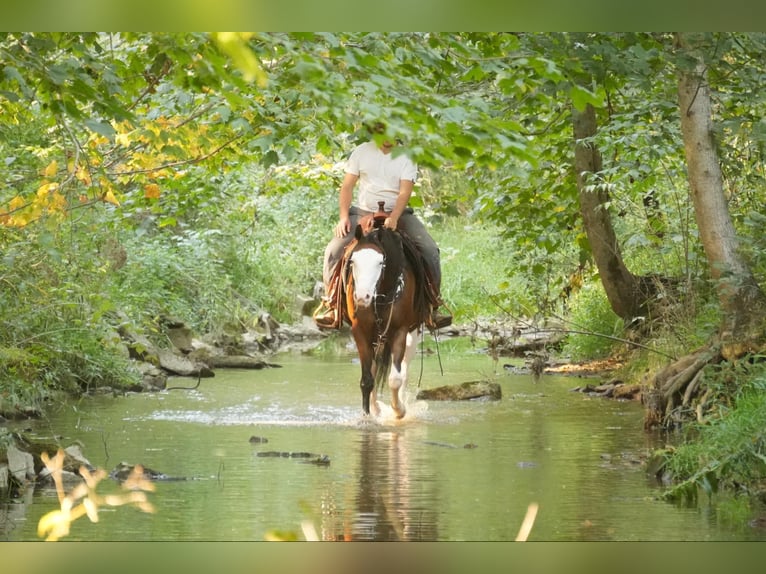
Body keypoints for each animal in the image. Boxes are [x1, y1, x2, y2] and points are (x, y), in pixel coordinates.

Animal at [342, 220, 432, 418]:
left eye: (380, 262)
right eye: (353, 261)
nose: (362, 297)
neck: (382, 295)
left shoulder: (400, 331)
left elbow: (395, 379)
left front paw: (399, 410)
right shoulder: (360, 331)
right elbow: (367, 379)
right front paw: (367, 417)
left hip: (413, 334)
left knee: (404, 369)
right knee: (375, 370)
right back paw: (376, 408)